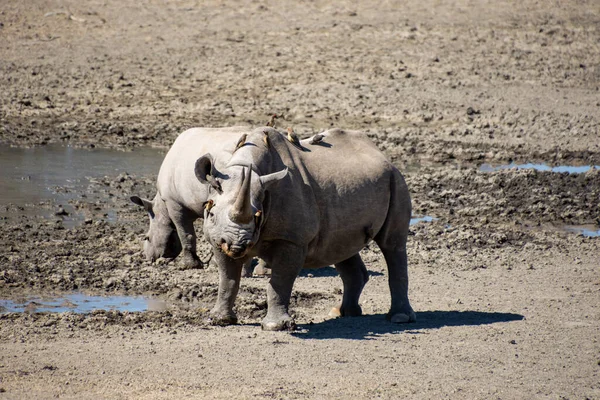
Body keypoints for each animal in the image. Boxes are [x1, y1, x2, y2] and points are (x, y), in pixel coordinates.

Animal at [131, 125, 253, 268]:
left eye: (147, 238)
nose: (149, 258)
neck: (162, 207)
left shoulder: (174, 202)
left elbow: (186, 233)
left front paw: (190, 265)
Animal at [195, 126, 414, 330]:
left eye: (257, 216)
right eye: (212, 215)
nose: (237, 246)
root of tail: (384, 156)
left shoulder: (292, 239)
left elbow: (280, 281)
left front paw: (275, 326)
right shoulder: (217, 238)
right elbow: (227, 279)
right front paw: (219, 320)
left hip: (396, 180)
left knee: (392, 245)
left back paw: (399, 318)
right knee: (341, 248)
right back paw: (345, 313)